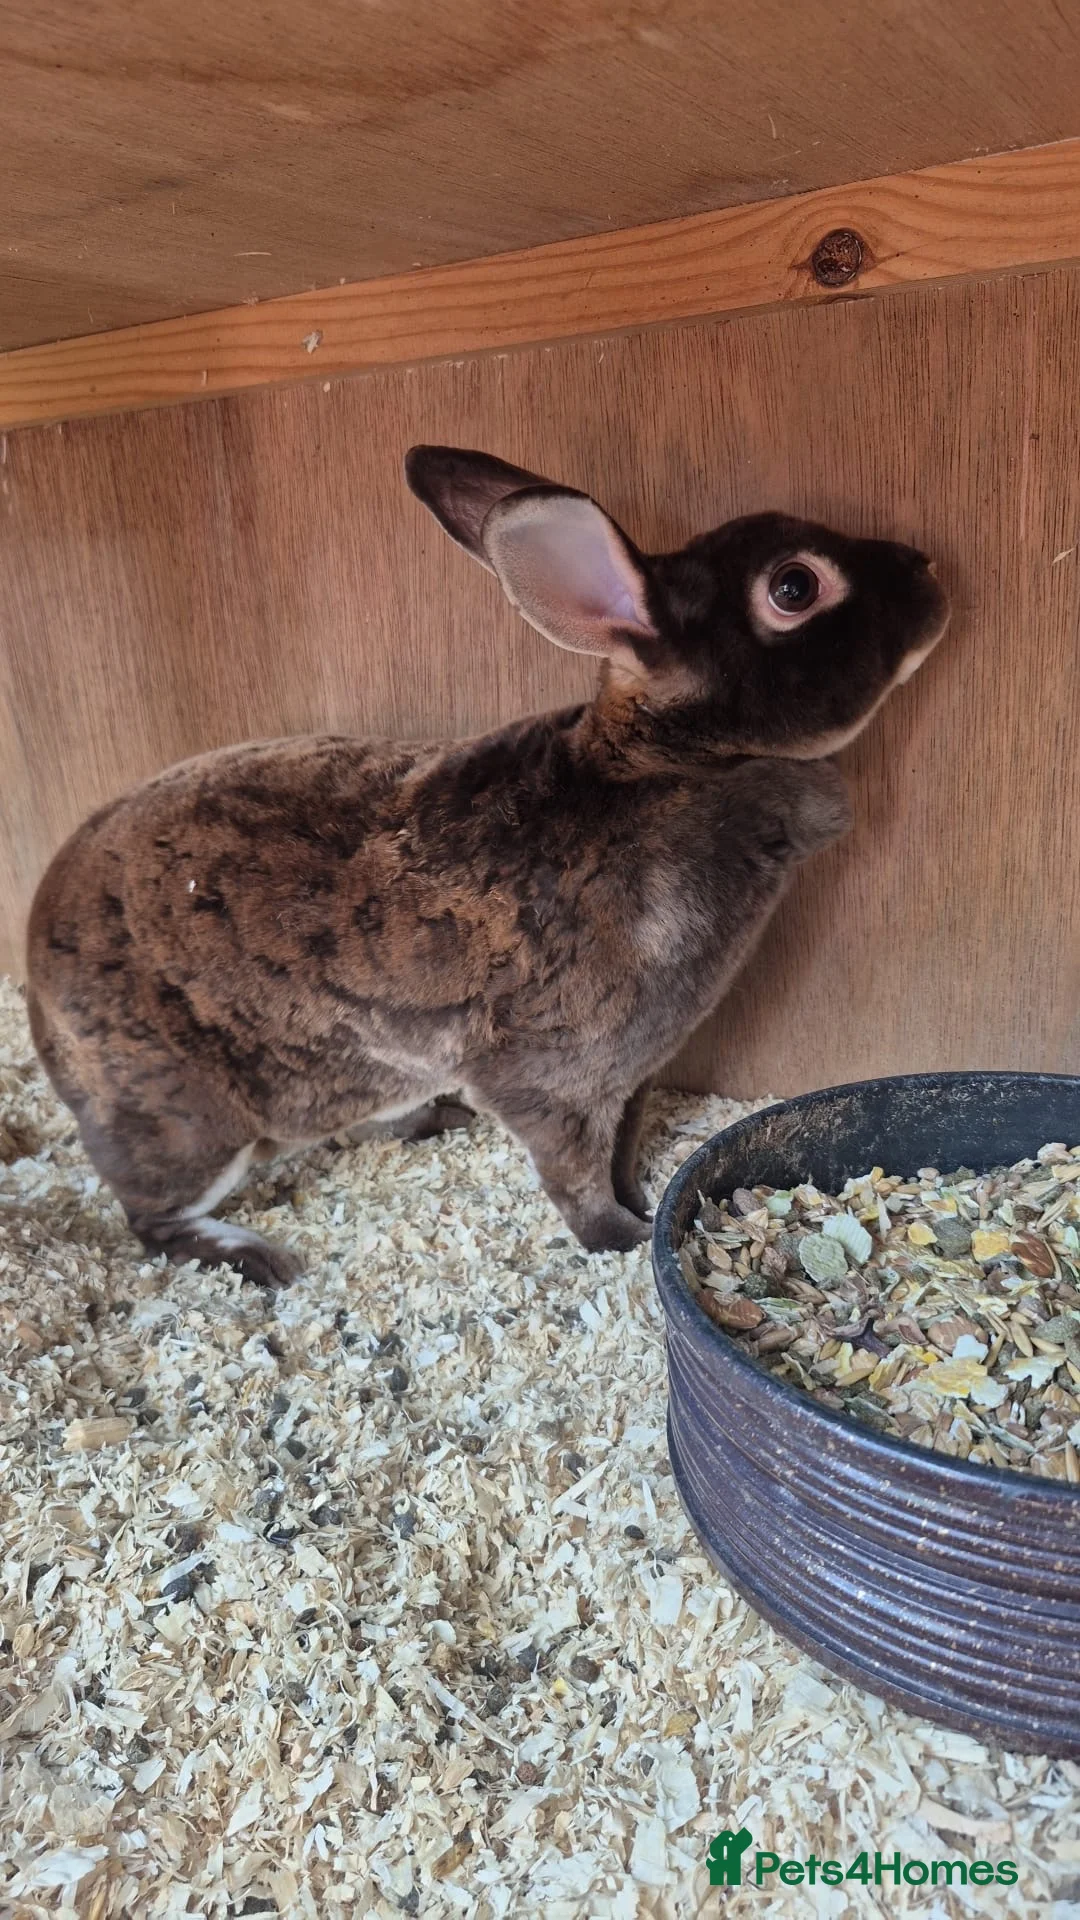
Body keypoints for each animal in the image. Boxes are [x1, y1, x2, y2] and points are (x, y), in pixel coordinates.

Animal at [26, 447, 949, 1284]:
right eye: (794, 587)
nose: (927, 568)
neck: (665, 764)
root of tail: (34, 957)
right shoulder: (550, 1079)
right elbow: (571, 1174)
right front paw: (620, 1239)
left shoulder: (630, 1079)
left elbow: (620, 1151)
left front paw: (639, 1204)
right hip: (185, 1121)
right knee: (151, 1217)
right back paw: (258, 1258)